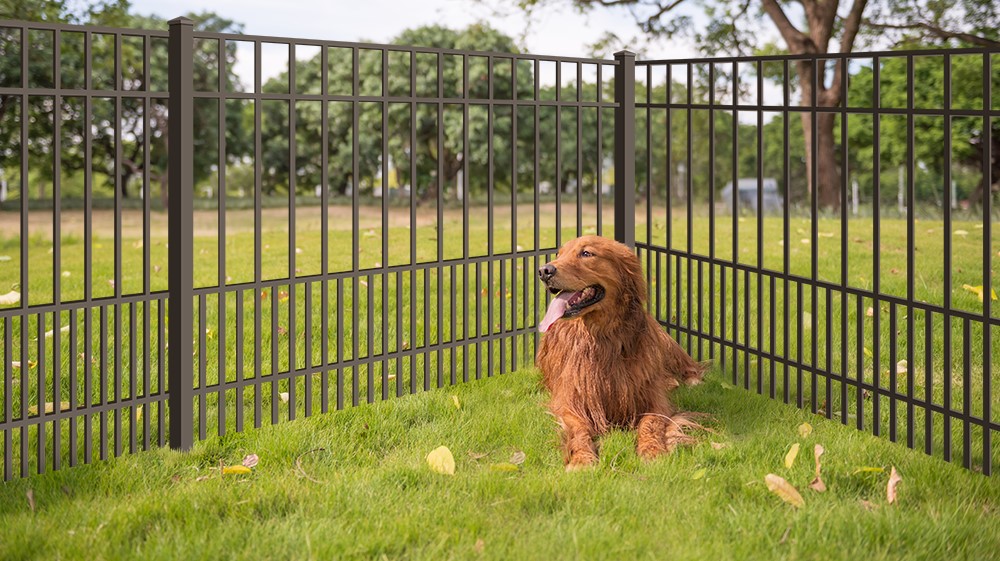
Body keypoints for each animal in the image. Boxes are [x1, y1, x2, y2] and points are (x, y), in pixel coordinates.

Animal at [536, 235, 708, 468]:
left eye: (586, 253)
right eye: (559, 254)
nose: (544, 271)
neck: (603, 337)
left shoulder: (655, 401)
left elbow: (651, 422)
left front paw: (652, 449)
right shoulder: (570, 402)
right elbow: (579, 430)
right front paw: (582, 458)